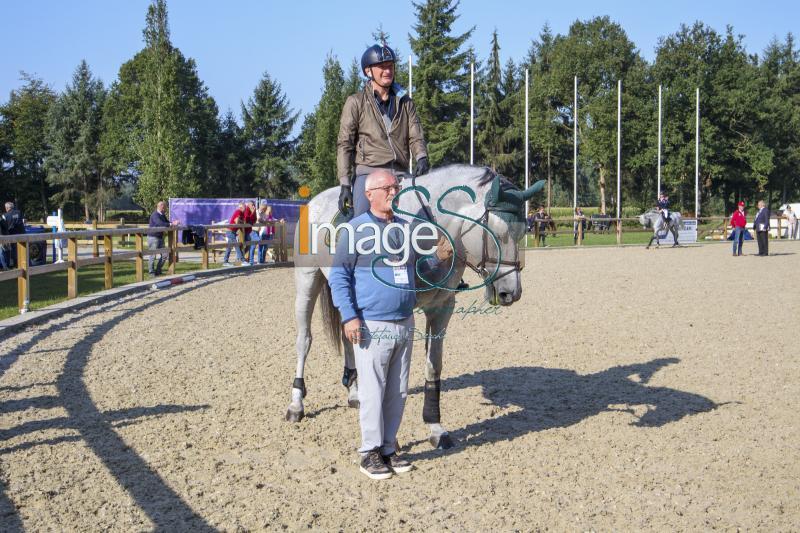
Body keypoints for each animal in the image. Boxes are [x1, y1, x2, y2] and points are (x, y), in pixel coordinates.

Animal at [288, 164, 544, 446]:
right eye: (496, 233)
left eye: (522, 232)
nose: (511, 293)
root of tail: (315, 201)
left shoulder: (441, 308)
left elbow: (433, 364)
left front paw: (435, 427)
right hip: (307, 281)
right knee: (304, 341)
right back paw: (296, 404)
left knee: (349, 339)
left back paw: (355, 393)